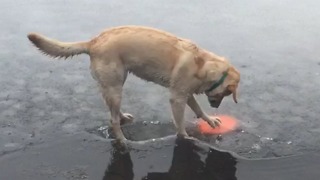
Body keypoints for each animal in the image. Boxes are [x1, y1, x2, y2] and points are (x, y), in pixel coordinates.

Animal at [27, 25, 240, 141]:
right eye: (226, 94)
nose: (216, 106)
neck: (204, 66)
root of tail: (92, 42)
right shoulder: (177, 97)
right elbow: (180, 123)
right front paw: (185, 137)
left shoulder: (185, 93)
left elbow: (198, 109)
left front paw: (210, 120)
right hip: (115, 85)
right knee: (112, 120)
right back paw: (123, 141)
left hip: (116, 82)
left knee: (112, 111)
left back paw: (123, 117)